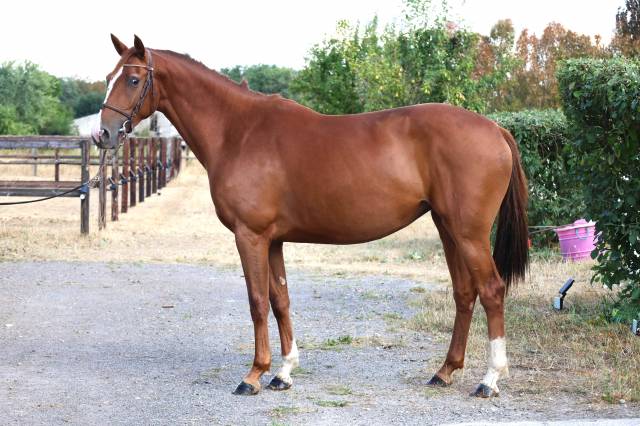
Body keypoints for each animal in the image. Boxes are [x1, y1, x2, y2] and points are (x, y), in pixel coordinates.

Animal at [94, 34, 529, 398]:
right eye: (108, 77)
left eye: (132, 79)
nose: (104, 135)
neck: (238, 131)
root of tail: (495, 129)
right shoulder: (273, 240)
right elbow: (280, 300)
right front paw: (283, 372)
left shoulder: (250, 236)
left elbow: (257, 301)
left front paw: (253, 375)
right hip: (447, 228)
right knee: (464, 292)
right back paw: (445, 371)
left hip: (469, 233)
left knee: (491, 291)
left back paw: (489, 379)